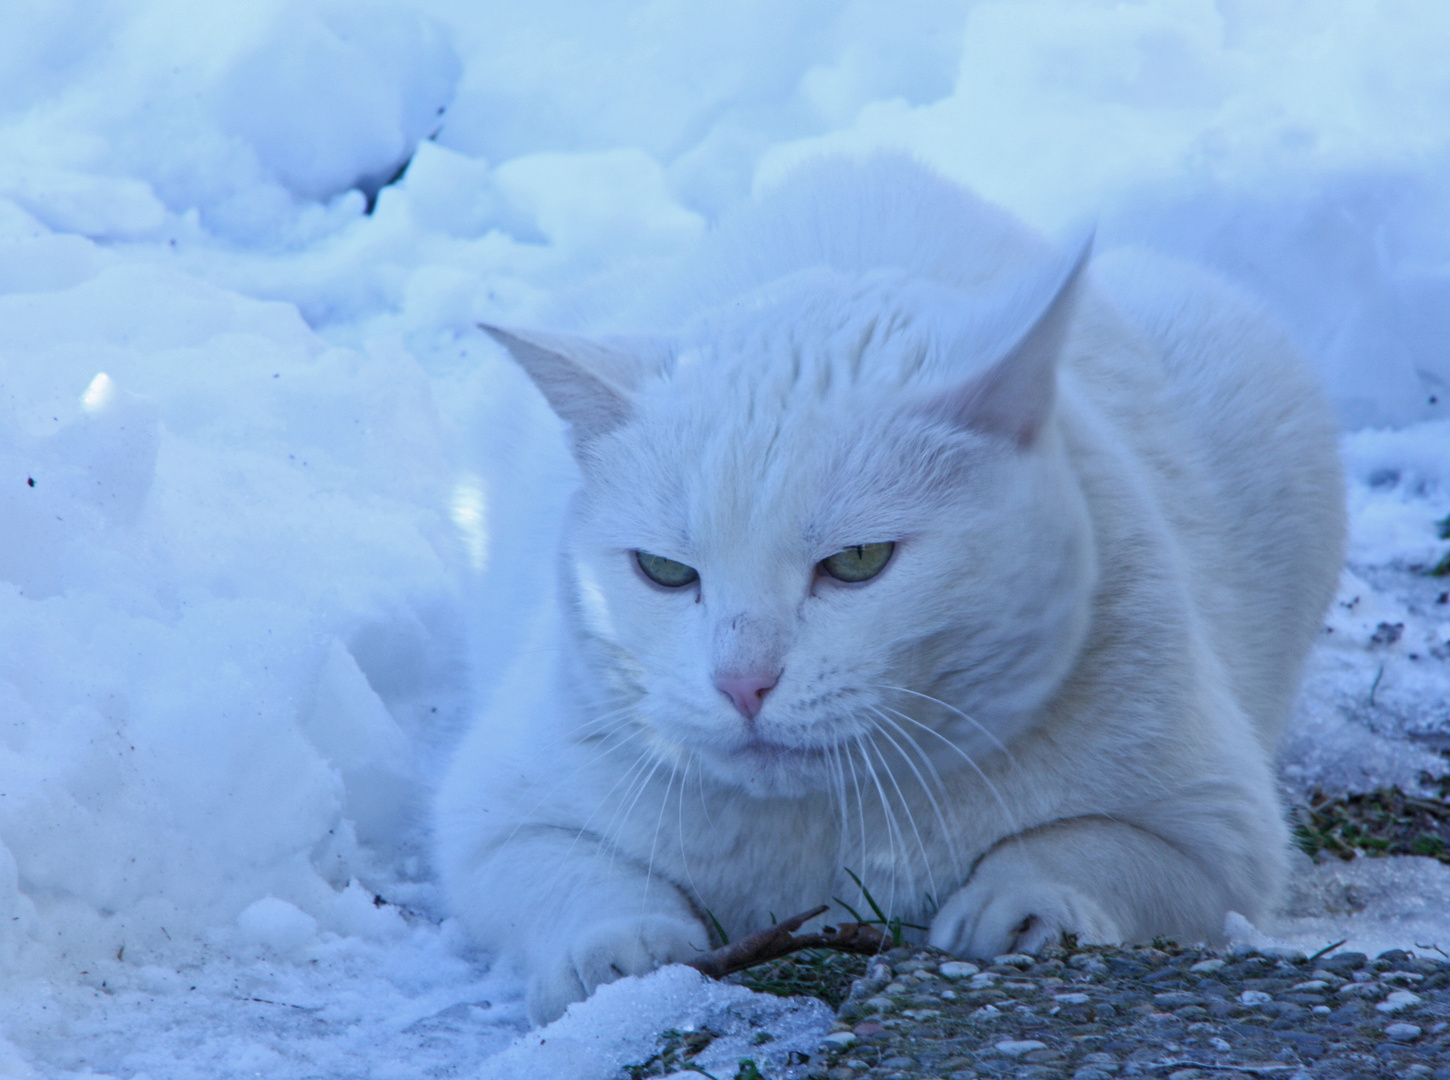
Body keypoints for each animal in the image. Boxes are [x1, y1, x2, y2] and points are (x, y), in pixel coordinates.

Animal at [432, 155, 1345, 1026]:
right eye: (664, 572)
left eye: (859, 561)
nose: (742, 682)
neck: (830, 827)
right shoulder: (494, 807)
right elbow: (557, 870)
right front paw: (621, 954)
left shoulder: (1216, 827)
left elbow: (1099, 849)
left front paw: (1021, 910)